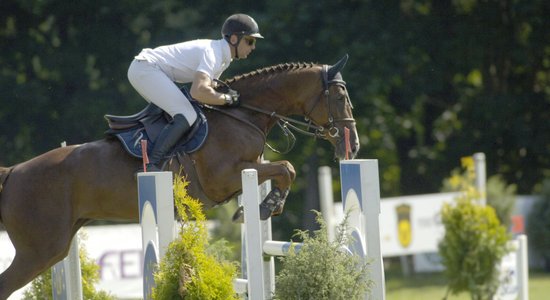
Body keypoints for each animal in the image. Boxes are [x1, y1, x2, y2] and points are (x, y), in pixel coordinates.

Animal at [0, 55, 358, 298]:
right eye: (340, 96)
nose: (351, 144)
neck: (242, 114)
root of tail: (14, 172)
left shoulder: (247, 169)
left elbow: (284, 169)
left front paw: (262, 206)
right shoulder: (224, 177)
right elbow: (285, 168)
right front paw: (268, 206)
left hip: (55, 247)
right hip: (39, 250)